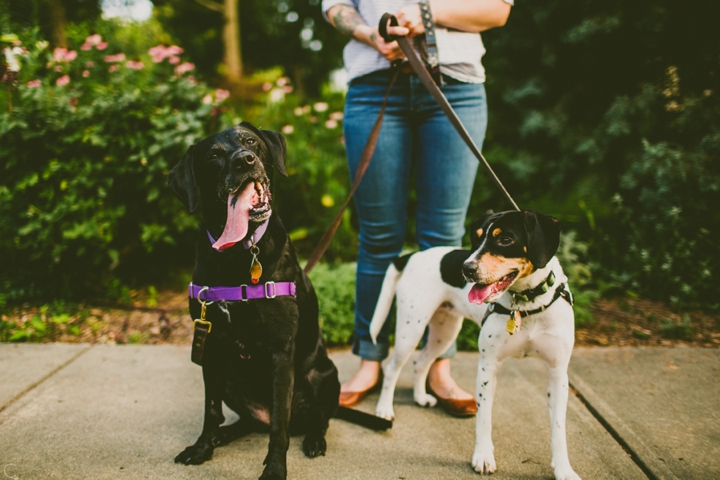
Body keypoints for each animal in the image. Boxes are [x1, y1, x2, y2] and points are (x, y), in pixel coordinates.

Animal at [169, 123, 340, 480]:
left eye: (250, 142)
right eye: (214, 155)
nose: (244, 160)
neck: (238, 253)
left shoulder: (280, 351)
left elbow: (280, 426)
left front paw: (274, 469)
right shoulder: (211, 348)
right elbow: (210, 410)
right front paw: (202, 448)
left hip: (325, 376)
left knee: (316, 418)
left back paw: (314, 439)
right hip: (227, 378)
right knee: (245, 420)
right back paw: (223, 435)